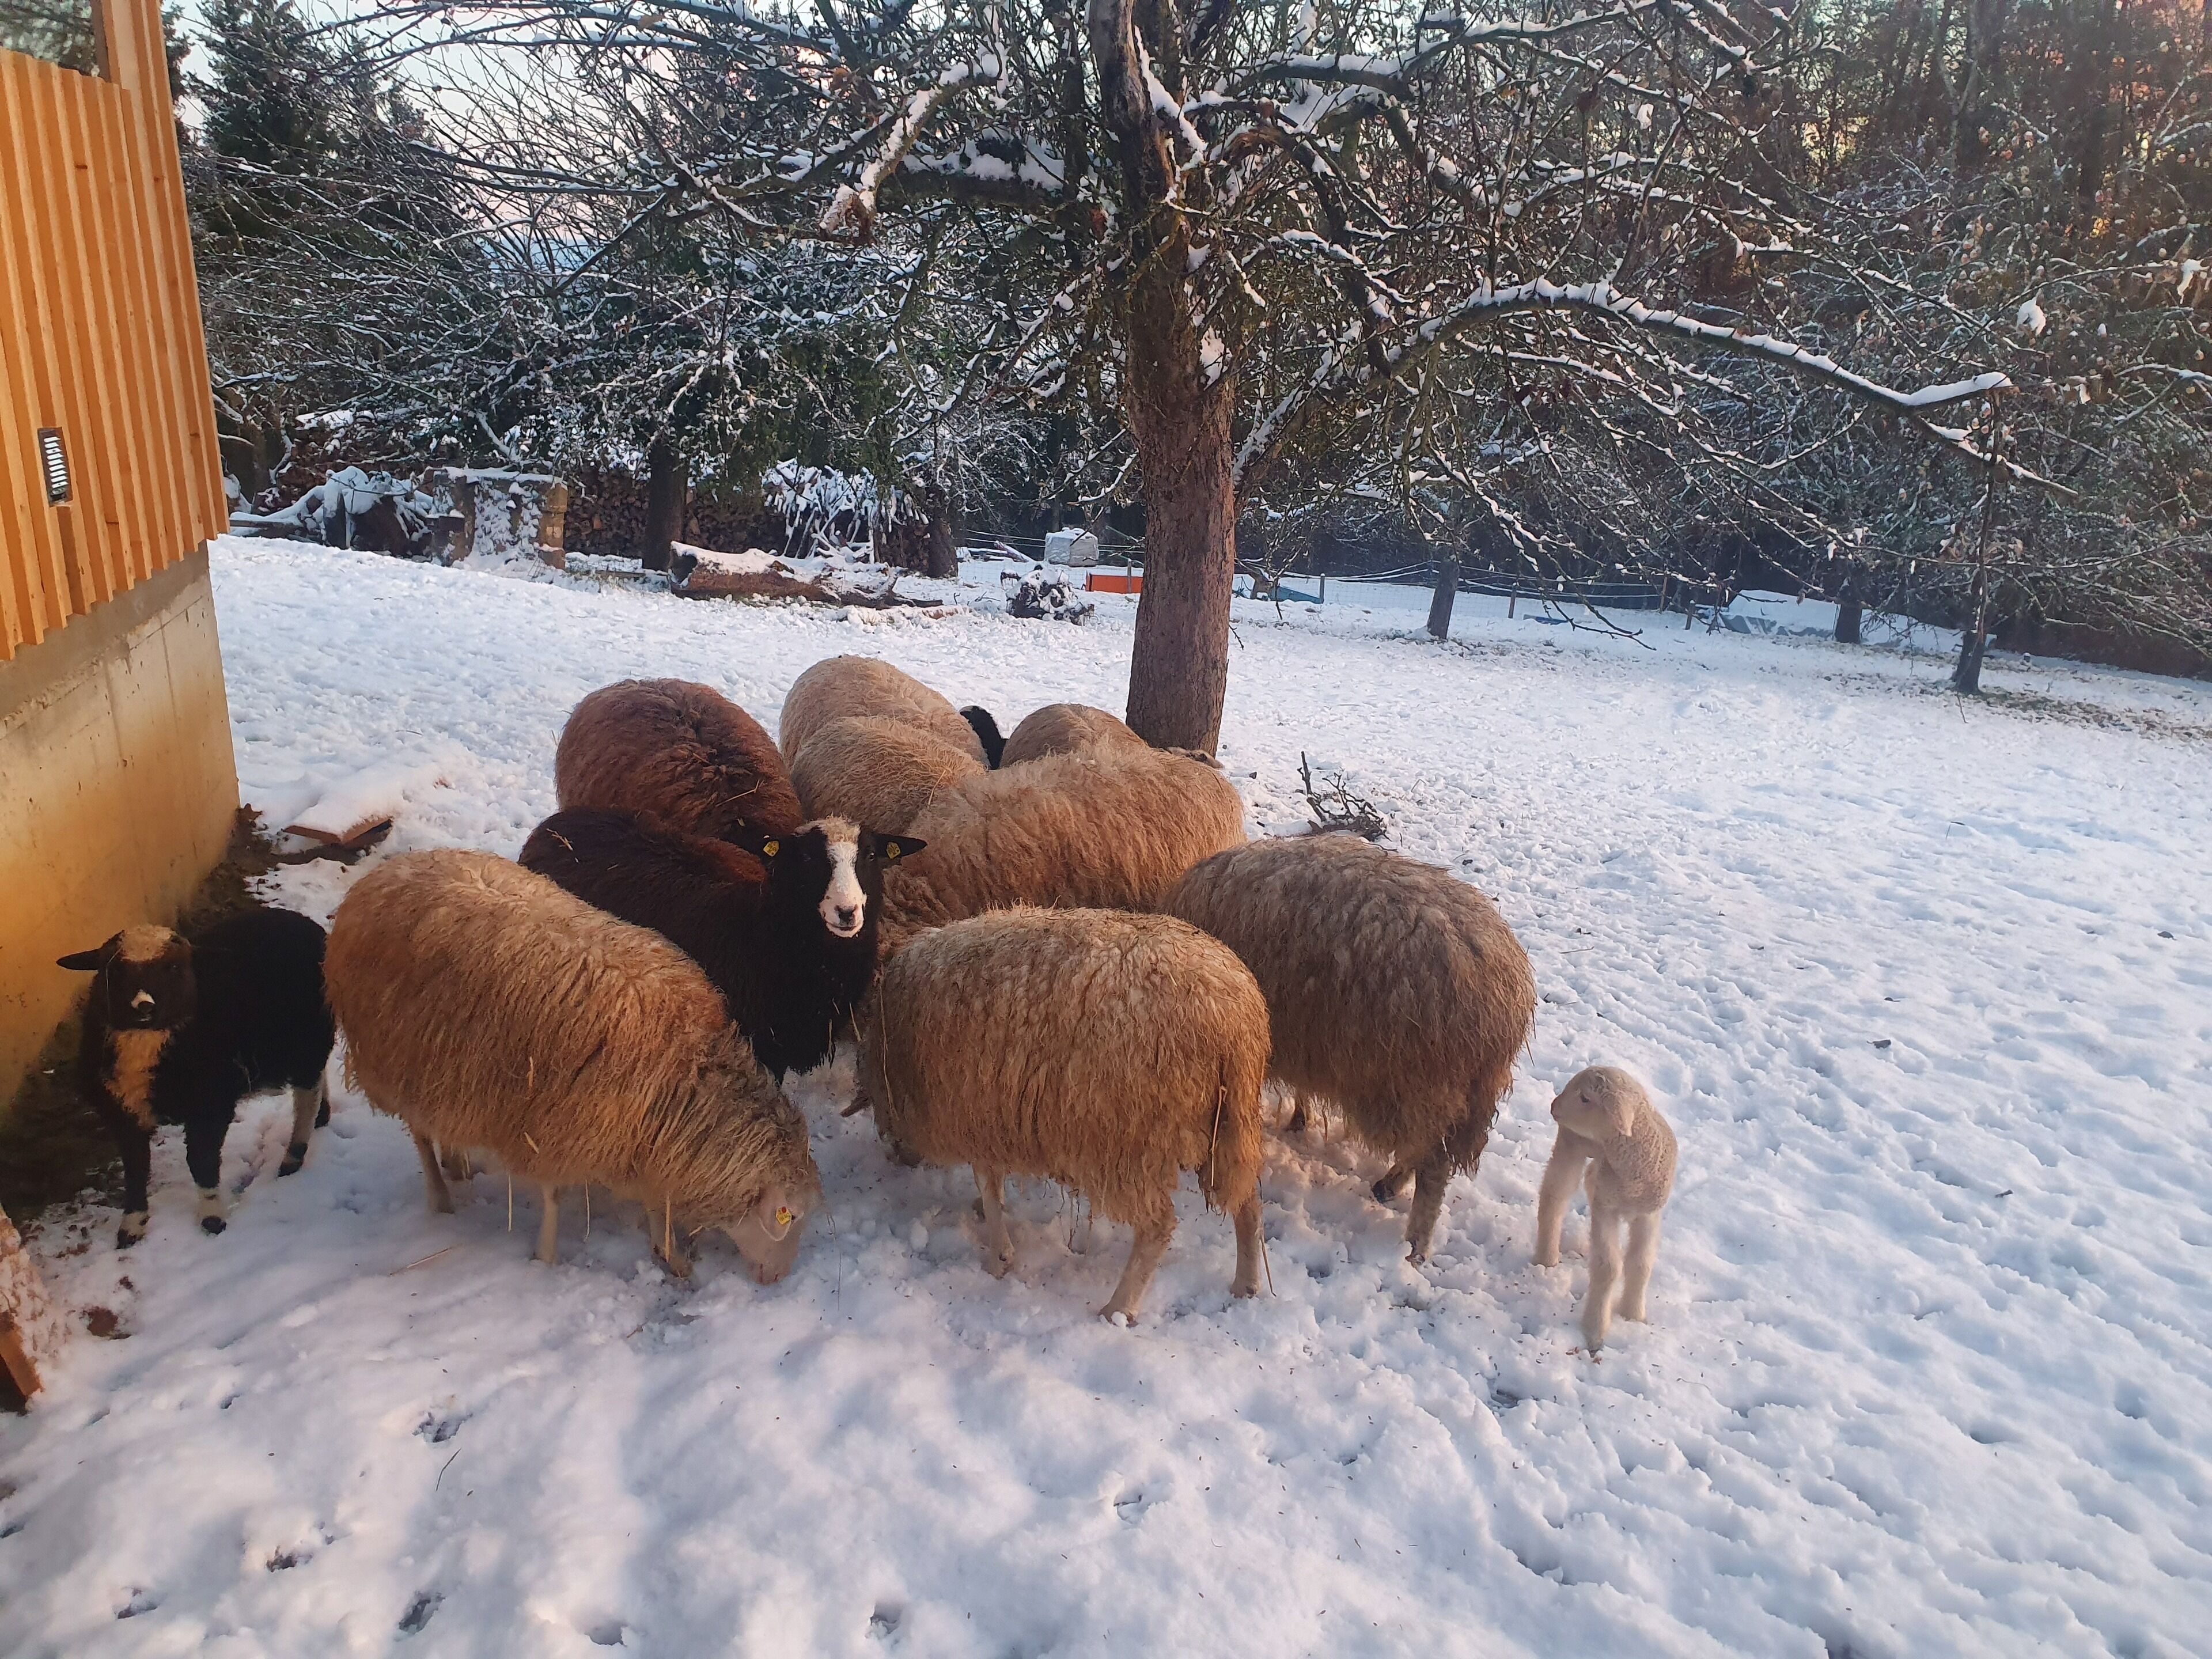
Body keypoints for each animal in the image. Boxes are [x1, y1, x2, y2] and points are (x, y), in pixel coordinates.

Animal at [58, 908, 334, 1248]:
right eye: (118, 970)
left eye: (174, 967)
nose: (144, 1006)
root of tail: (301, 921)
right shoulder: (122, 1111)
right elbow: (136, 1169)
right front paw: (132, 1225)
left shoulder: (210, 1104)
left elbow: (201, 1161)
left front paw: (212, 1218)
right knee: (317, 1078)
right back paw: (323, 1117)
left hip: (309, 1038)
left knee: (307, 1094)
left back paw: (294, 1155)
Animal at [323, 849, 819, 1281]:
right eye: (789, 1216)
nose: (779, 1279)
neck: (687, 1068)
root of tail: (387, 871)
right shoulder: (554, 1125)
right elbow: (555, 1195)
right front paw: (546, 1256)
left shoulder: (641, 1136)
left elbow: (655, 1202)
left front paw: (670, 1254)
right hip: (393, 1060)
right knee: (420, 1136)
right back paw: (442, 1197)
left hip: (442, 1067)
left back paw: (458, 1162)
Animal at [853, 907, 1269, 1321]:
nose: (896, 1154)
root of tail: (1232, 1017)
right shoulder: (989, 1113)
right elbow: (989, 1180)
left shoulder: (973, 1112)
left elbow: (987, 1183)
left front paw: (999, 1257)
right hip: (1231, 1123)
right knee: (1248, 1203)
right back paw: (1246, 1284)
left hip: (1132, 1140)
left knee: (1158, 1226)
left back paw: (1118, 1308)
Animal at [1164, 834, 1536, 1265]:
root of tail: (1503, 991)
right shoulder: (1303, 1034)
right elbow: (1302, 1087)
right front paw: (1299, 1118)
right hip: (1440, 1089)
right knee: (1426, 1148)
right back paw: (1390, 1184)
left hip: (1419, 1080)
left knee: (1434, 1167)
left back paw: (1415, 1244)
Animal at [1534, 1066, 1677, 1351]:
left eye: (1585, 1098)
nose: (1554, 1106)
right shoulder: (1606, 1211)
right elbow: (1609, 1268)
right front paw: (1595, 1330)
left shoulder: (1647, 1215)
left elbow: (1641, 1264)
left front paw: (1634, 1315)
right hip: (1571, 1142)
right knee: (1555, 1196)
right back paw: (1547, 1257)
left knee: (1590, 1178)